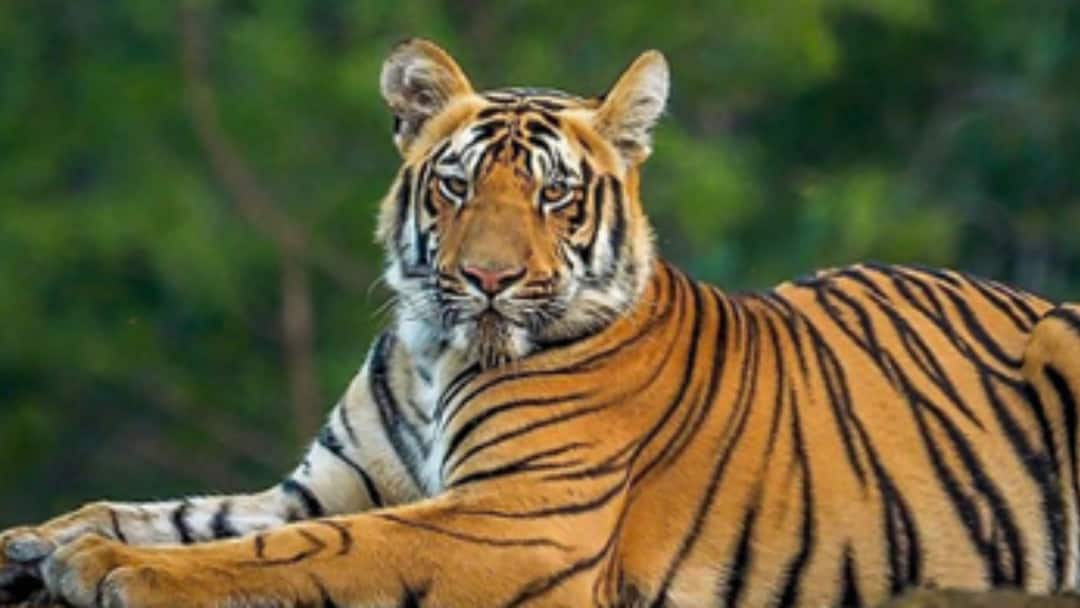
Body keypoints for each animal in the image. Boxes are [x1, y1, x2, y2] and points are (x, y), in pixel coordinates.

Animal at [2, 37, 1080, 608]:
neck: (437, 353)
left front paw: (107, 568)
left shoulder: (513, 520)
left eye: (555, 196)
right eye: (457, 185)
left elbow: (299, 551)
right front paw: (37, 541)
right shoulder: (324, 486)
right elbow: (174, 512)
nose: (487, 277)